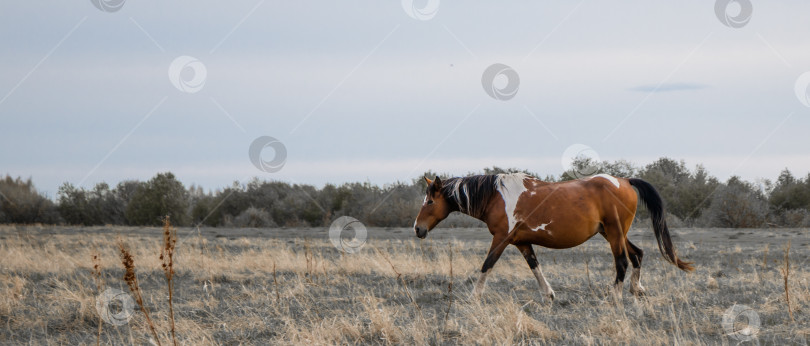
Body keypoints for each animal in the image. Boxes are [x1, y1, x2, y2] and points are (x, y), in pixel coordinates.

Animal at [414, 173, 692, 300]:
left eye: (430, 201)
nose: (417, 229)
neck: (496, 196)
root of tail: (623, 180)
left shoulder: (501, 239)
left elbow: (487, 264)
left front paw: (474, 296)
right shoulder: (522, 242)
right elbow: (534, 265)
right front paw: (548, 294)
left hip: (614, 233)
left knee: (622, 261)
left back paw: (615, 297)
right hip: (614, 233)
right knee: (637, 255)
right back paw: (636, 289)